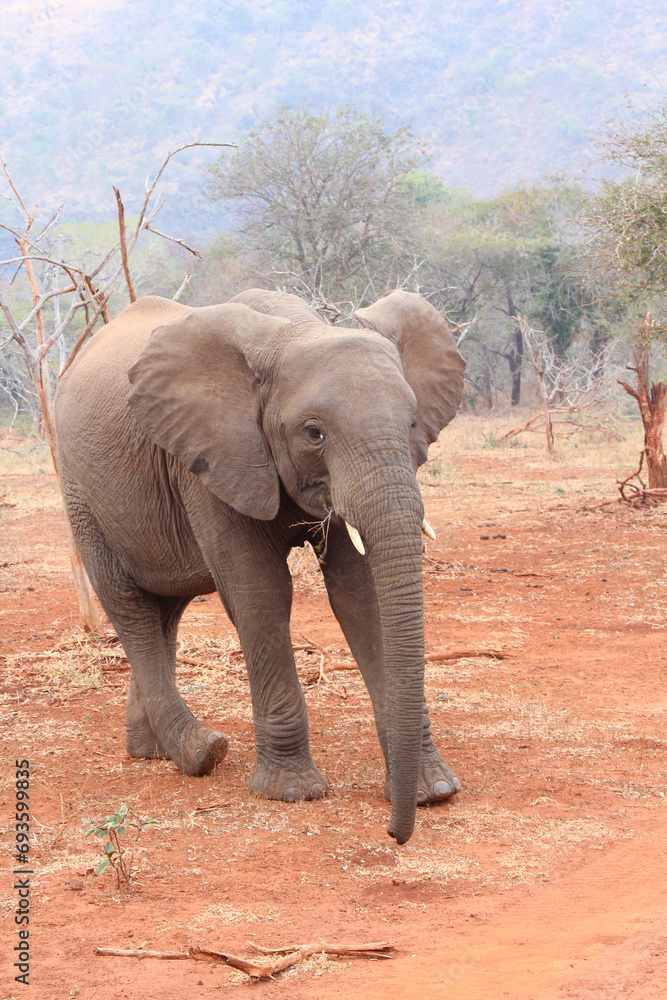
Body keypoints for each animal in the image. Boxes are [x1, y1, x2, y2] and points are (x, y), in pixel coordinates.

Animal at [54, 287, 465, 845]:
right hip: (80, 490)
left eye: (414, 424)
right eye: (313, 433)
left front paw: (435, 790)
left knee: (166, 608)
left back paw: (153, 750)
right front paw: (292, 792)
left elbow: (360, 595)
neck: (297, 330)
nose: (394, 835)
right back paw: (201, 753)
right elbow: (260, 591)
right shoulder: (212, 457)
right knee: (130, 605)